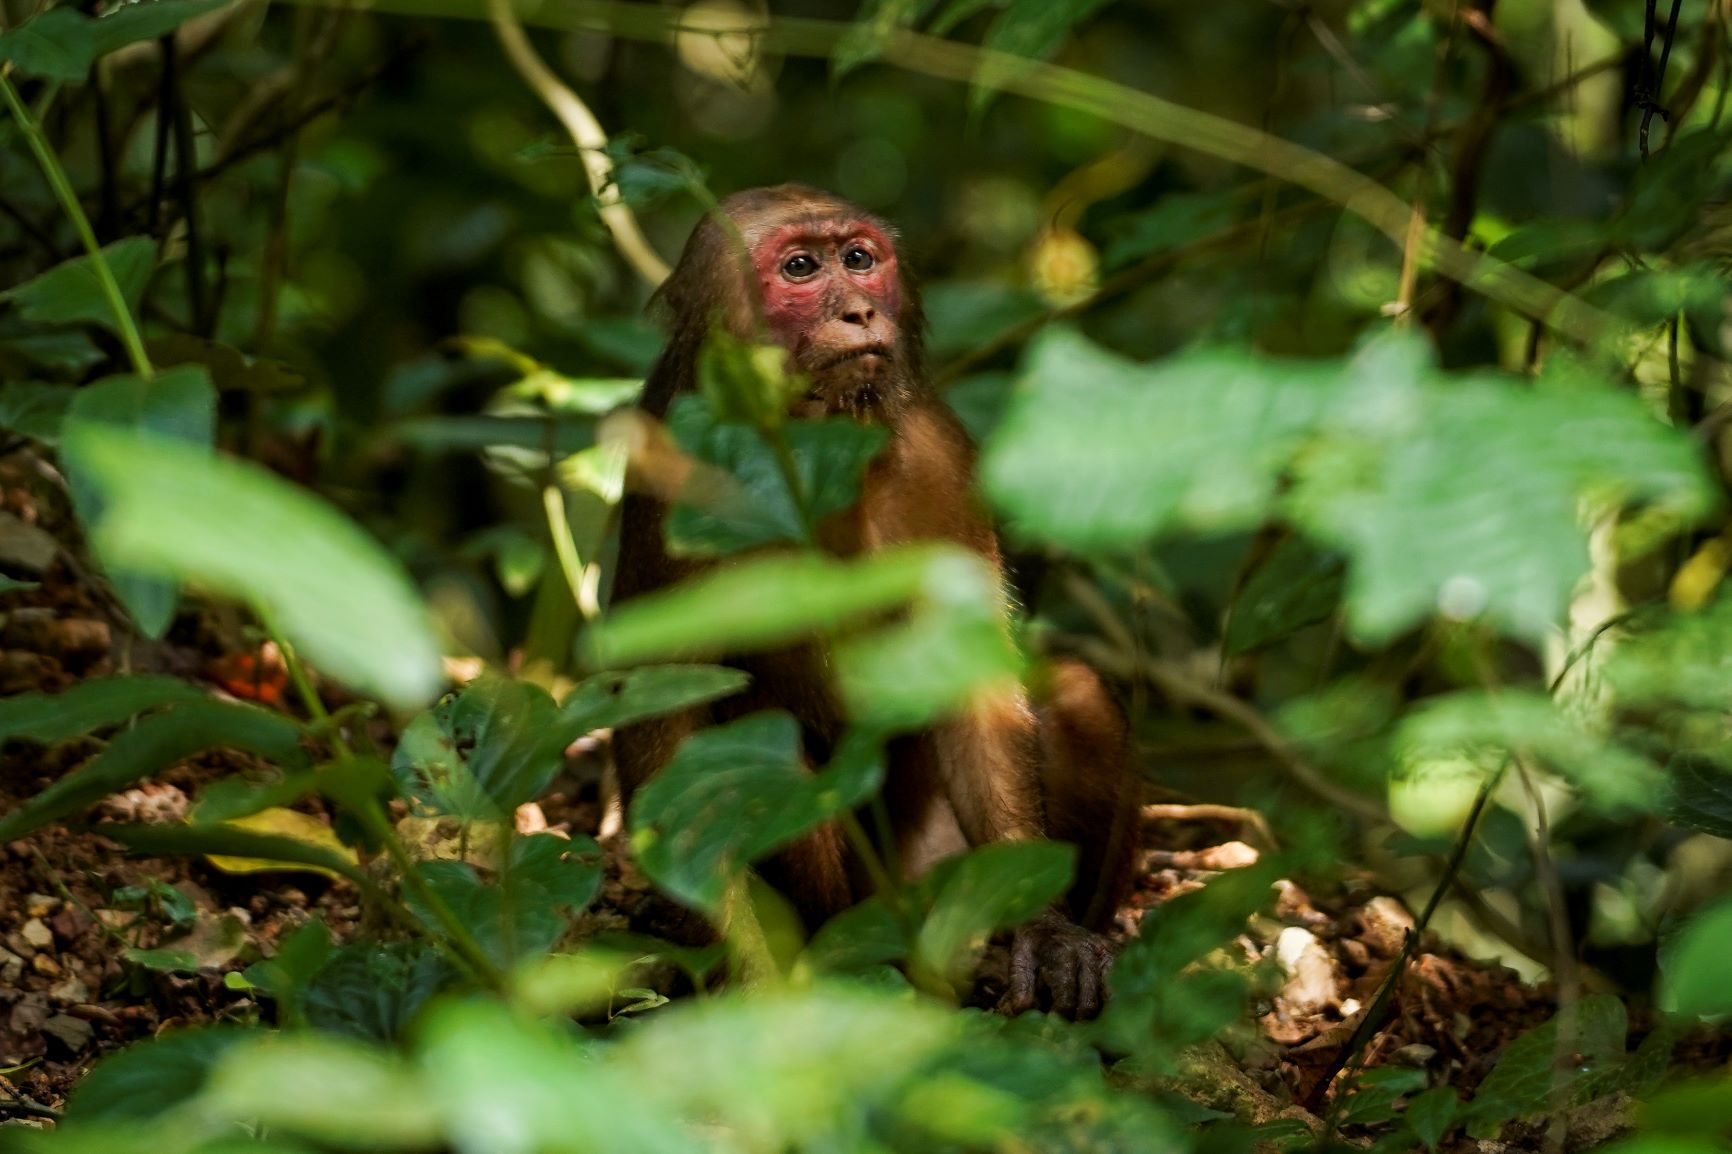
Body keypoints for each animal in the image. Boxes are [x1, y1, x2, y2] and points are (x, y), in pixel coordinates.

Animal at [602, 181, 1143, 1018]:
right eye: (800, 267)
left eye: (859, 259)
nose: (859, 310)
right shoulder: (676, 457)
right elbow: (665, 712)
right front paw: (747, 969)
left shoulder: (939, 454)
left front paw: (1044, 928)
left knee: (1078, 690)